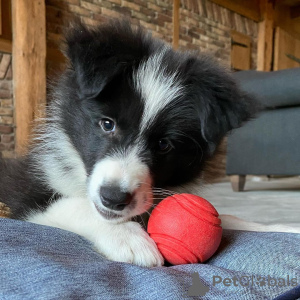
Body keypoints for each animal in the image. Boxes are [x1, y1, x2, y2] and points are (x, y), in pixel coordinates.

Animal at [0, 19, 292, 266]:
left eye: (164, 144)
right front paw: (129, 239)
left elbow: (227, 216)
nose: (113, 199)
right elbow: (73, 204)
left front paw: (282, 228)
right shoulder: (24, 190)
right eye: (107, 124)